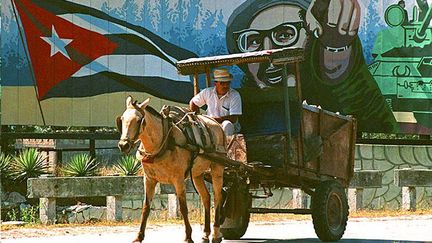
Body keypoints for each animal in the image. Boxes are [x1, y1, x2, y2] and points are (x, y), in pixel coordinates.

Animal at [117, 96, 226, 242]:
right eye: (122, 119)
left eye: (139, 120)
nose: (123, 145)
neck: (163, 143)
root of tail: (217, 124)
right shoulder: (149, 180)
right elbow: (146, 207)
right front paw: (139, 236)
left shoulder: (178, 180)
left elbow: (183, 208)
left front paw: (188, 237)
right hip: (197, 174)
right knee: (206, 197)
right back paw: (205, 233)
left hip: (217, 169)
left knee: (218, 197)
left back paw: (215, 233)